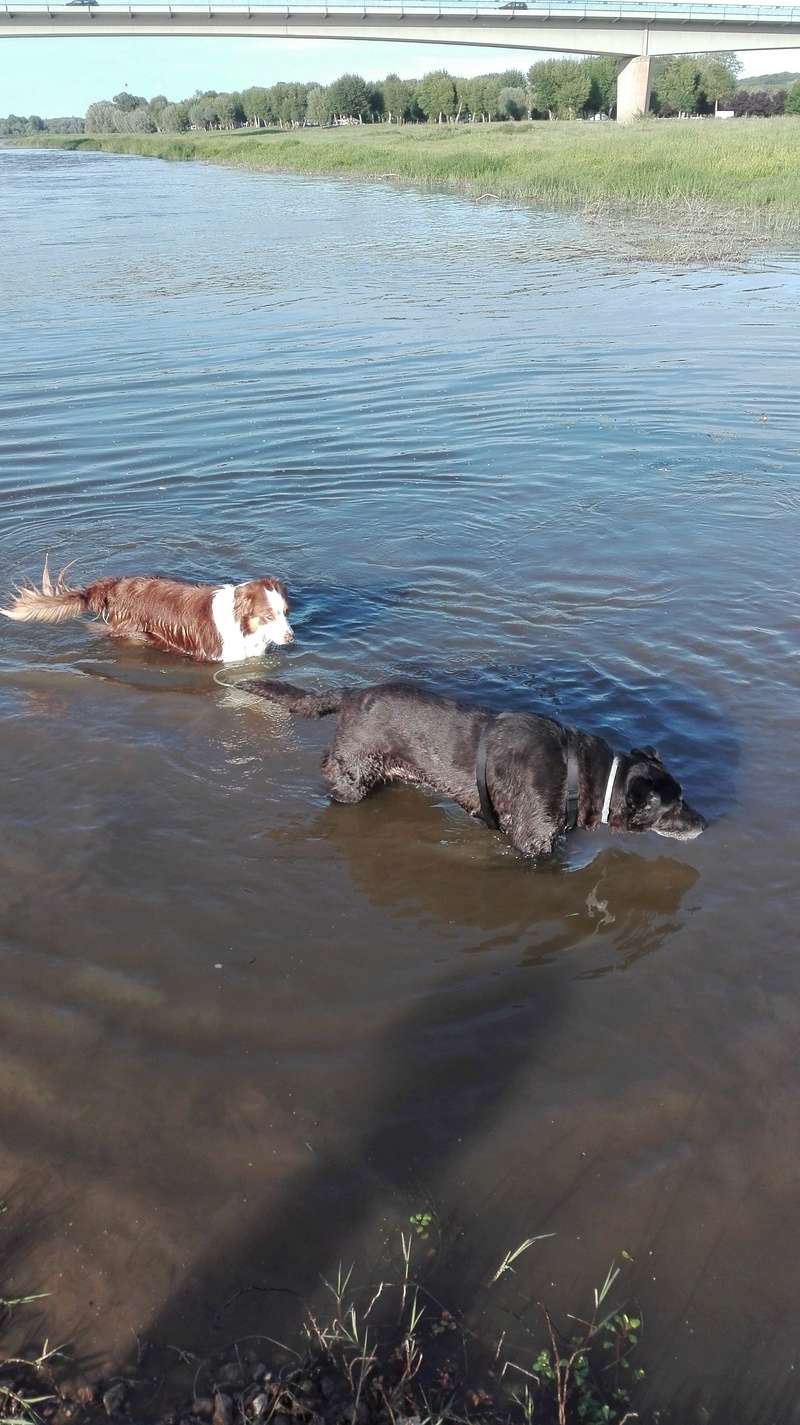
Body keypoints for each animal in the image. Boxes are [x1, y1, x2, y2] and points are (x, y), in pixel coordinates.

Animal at [236, 678, 704, 855]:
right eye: (675, 805)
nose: (704, 822)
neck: (581, 774)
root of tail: (350, 695)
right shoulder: (533, 841)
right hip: (353, 776)